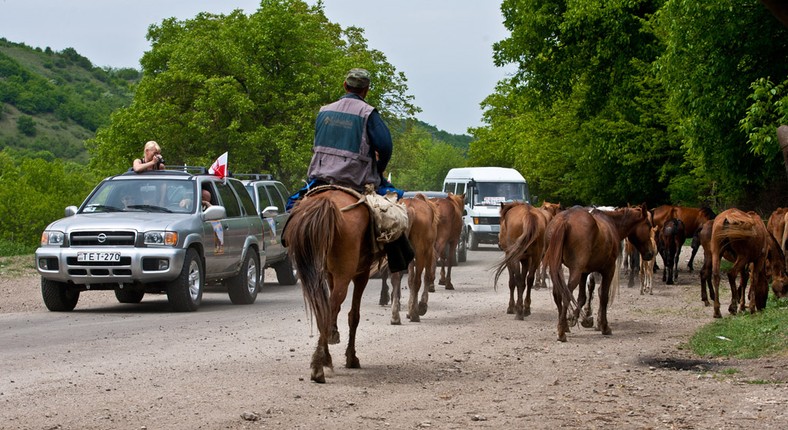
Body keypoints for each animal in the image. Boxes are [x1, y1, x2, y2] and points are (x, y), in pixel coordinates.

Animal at [284, 188, 382, 382]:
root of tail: (327, 201)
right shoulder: (362, 275)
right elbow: (354, 316)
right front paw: (351, 357)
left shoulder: (330, 274)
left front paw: (332, 334)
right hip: (345, 273)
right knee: (332, 306)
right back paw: (319, 365)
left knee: (323, 308)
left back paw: (322, 358)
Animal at [390, 193, 444, 324]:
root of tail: (409, 209)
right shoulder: (428, 251)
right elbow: (426, 276)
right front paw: (421, 306)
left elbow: (410, 280)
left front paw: (410, 310)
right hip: (420, 252)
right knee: (418, 280)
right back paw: (415, 314)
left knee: (396, 278)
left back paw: (395, 316)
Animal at [548, 203, 652, 340]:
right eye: (649, 225)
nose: (650, 253)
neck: (612, 224)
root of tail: (565, 220)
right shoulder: (608, 270)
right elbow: (603, 296)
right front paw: (604, 326)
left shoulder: (584, 273)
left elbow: (582, 297)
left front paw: (576, 318)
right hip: (575, 271)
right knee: (566, 293)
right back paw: (561, 331)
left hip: (558, 268)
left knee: (558, 293)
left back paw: (564, 325)